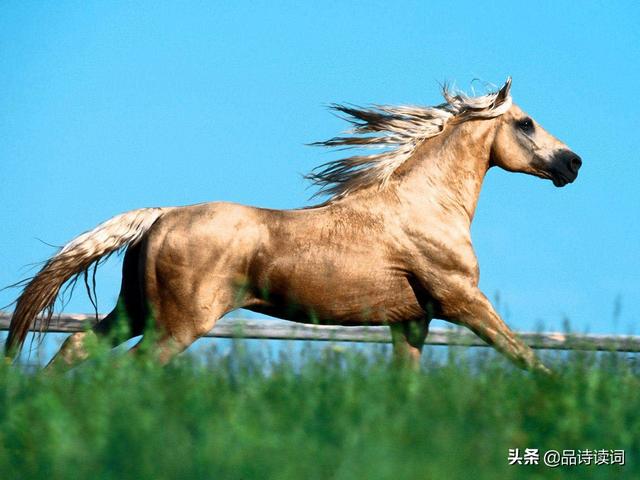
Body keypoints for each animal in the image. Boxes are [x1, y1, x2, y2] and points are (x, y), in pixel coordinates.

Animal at [5, 78, 581, 372]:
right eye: (526, 123)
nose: (573, 163)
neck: (422, 207)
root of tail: (160, 215)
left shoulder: (411, 323)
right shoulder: (463, 302)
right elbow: (529, 360)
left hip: (135, 312)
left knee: (74, 348)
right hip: (178, 324)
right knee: (129, 370)